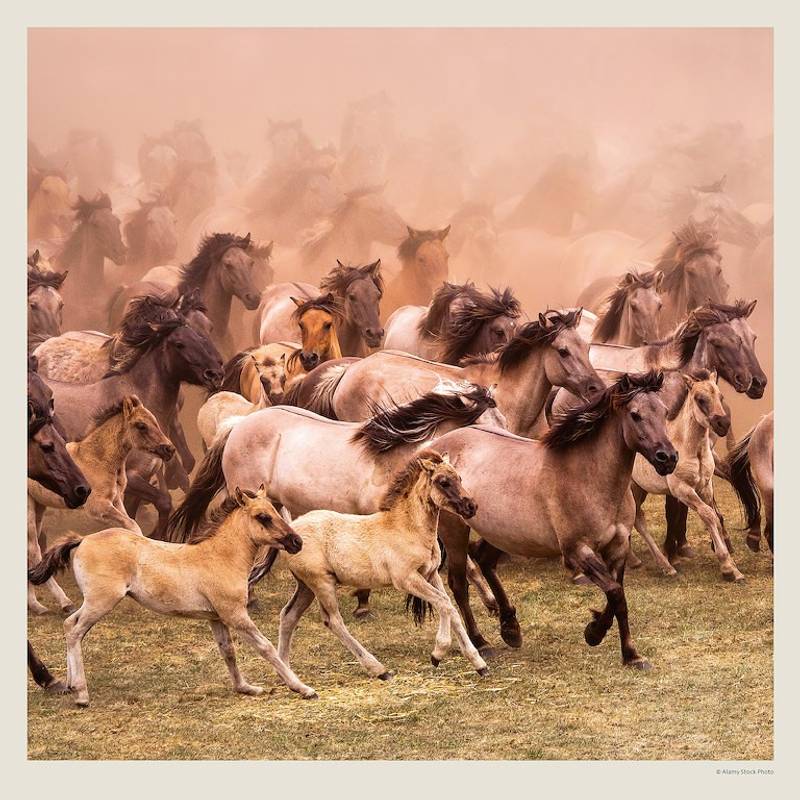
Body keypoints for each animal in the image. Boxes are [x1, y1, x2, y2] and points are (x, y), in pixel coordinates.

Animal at [27, 396, 175, 615]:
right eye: (141, 425)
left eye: (155, 421)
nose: (169, 449)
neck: (98, 458)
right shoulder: (98, 507)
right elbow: (132, 525)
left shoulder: (117, 501)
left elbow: (130, 524)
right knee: (33, 549)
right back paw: (60, 602)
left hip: (39, 506)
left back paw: (36, 604)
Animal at [29, 487, 317, 707]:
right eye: (263, 517)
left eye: (276, 512)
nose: (297, 542)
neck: (221, 556)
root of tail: (83, 540)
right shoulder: (235, 614)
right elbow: (266, 648)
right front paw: (302, 687)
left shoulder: (216, 618)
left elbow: (228, 652)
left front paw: (245, 687)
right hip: (100, 602)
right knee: (75, 630)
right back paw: (81, 694)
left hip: (92, 603)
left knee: (69, 625)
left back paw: (68, 684)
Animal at [263, 452, 488, 680]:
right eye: (443, 482)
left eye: (460, 478)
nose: (471, 507)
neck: (408, 528)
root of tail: (291, 531)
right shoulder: (406, 579)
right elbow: (444, 604)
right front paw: (438, 653)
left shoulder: (430, 574)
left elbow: (450, 607)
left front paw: (479, 663)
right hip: (321, 582)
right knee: (333, 621)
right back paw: (379, 669)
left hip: (306, 586)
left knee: (288, 616)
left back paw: (286, 671)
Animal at [427, 371, 678, 662]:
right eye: (635, 415)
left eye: (665, 412)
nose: (668, 458)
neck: (588, 477)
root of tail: (438, 448)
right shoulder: (576, 550)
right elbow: (616, 593)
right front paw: (595, 634)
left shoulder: (618, 546)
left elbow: (618, 598)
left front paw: (629, 654)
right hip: (455, 532)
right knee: (458, 584)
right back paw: (481, 642)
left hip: (506, 532)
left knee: (484, 560)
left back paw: (510, 628)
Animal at [630, 370, 740, 580]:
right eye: (700, 399)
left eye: (720, 396)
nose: (723, 424)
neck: (689, 447)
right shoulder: (682, 490)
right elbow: (708, 515)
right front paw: (728, 567)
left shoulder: (705, 486)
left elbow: (713, 515)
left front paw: (729, 562)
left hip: (639, 488)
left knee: (638, 518)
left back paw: (664, 565)